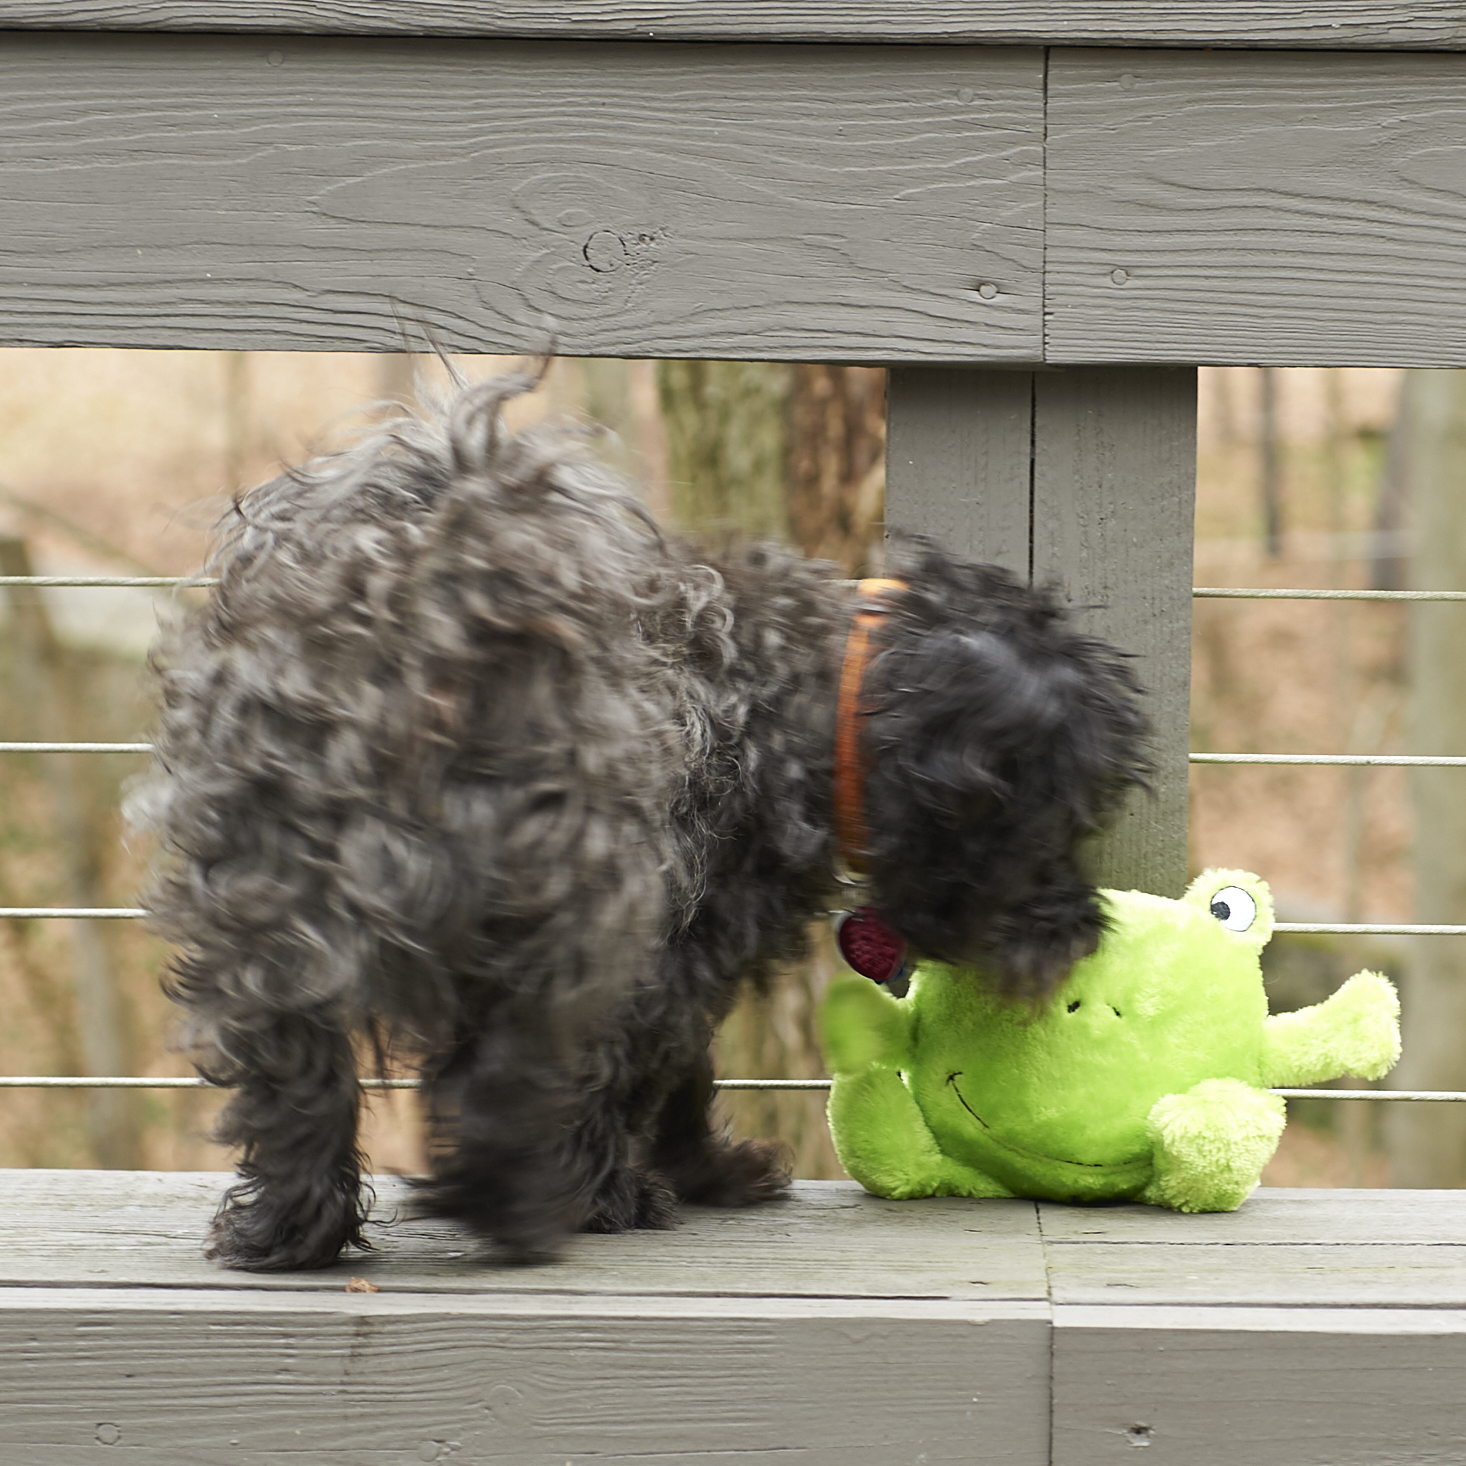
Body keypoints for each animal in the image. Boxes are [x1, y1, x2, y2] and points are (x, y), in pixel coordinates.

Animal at [137, 366, 1143, 1272]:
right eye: (1050, 818)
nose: (1085, 933)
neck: (814, 703)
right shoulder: (684, 947)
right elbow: (661, 1077)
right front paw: (666, 1181)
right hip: (571, 910)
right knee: (514, 1072)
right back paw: (535, 1204)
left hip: (268, 912)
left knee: (298, 1080)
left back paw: (291, 1232)